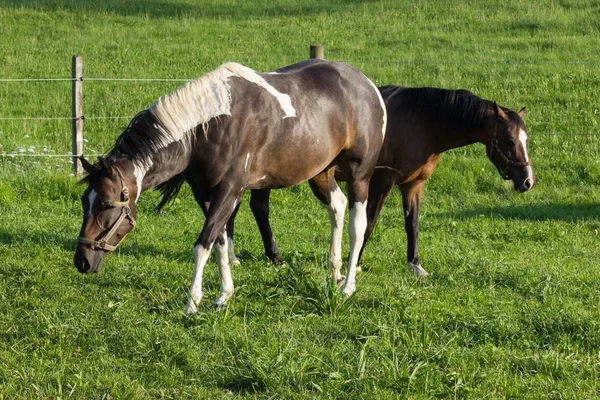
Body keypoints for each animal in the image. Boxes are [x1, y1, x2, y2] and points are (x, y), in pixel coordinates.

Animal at [75, 60, 384, 316]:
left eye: (107, 204)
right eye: (84, 202)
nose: (82, 262)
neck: (208, 128)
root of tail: (367, 85)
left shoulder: (229, 192)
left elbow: (203, 245)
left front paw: (192, 302)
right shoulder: (205, 195)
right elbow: (220, 242)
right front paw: (224, 295)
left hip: (359, 175)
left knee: (358, 224)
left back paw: (348, 286)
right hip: (321, 173)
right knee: (337, 207)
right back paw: (335, 272)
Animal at [225, 85, 536, 276]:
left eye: (526, 140)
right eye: (509, 141)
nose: (527, 181)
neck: (422, 123)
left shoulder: (413, 185)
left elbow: (412, 224)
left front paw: (415, 264)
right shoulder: (382, 181)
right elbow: (369, 222)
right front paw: (356, 263)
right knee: (257, 209)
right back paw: (270, 256)